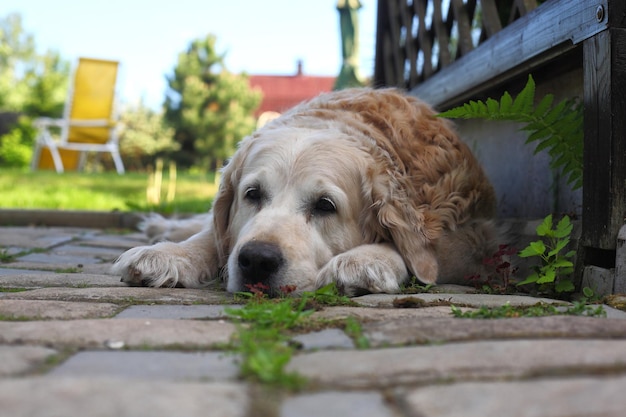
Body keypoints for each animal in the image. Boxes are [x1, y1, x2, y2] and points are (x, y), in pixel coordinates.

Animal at [112, 88, 502, 296]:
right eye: (252, 194)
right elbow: (211, 238)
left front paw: (366, 260)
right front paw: (170, 254)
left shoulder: (473, 236)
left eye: (325, 205)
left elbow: (416, 252)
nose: (257, 259)